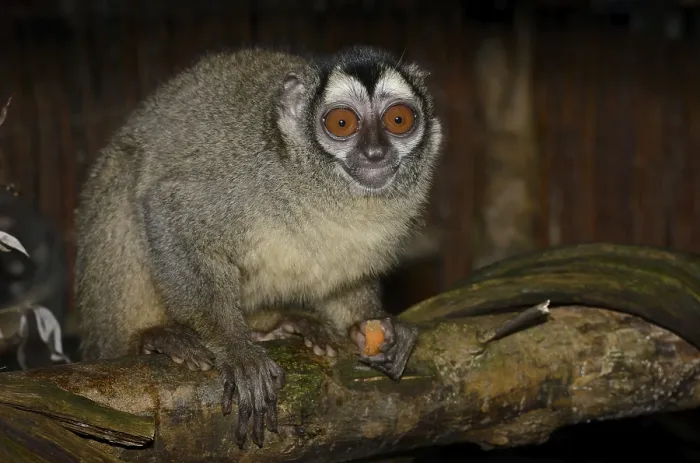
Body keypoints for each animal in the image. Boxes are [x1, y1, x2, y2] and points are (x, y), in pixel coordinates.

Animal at [75, 45, 443, 448]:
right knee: (126, 173)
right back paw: (152, 338)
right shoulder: (245, 179)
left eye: (398, 119)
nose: (375, 152)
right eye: (343, 123)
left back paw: (286, 324)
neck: (327, 191)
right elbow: (166, 208)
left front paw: (372, 326)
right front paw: (237, 349)